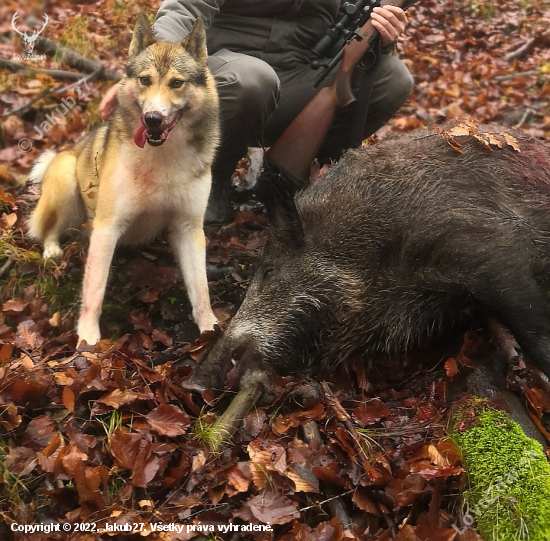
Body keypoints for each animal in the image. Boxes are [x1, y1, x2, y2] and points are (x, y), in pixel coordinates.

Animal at [28, 14, 221, 344]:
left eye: (176, 83)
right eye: (144, 80)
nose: (153, 119)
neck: (163, 155)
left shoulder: (188, 227)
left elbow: (201, 288)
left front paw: (209, 329)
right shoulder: (107, 227)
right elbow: (95, 289)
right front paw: (88, 340)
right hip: (65, 179)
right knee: (47, 229)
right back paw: (52, 249)